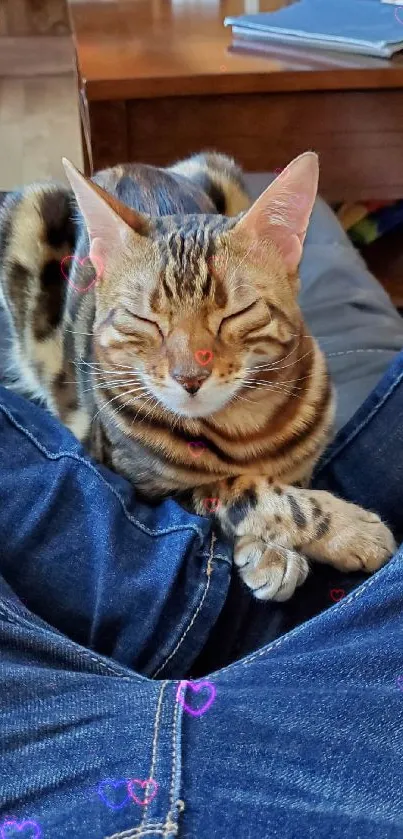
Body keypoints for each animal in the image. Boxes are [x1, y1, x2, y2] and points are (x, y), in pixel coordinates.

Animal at [0, 149, 398, 596]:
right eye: (145, 320)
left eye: (235, 314)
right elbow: (243, 490)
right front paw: (346, 531)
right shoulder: (144, 486)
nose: (189, 377)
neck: (244, 426)